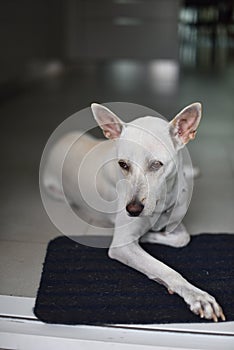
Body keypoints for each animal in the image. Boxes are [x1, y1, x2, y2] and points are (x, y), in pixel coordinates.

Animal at [43, 103, 225, 322]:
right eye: (123, 164)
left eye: (156, 164)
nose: (133, 209)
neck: (162, 200)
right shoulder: (122, 245)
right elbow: (165, 269)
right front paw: (198, 296)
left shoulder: (174, 223)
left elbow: (183, 238)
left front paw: (150, 236)